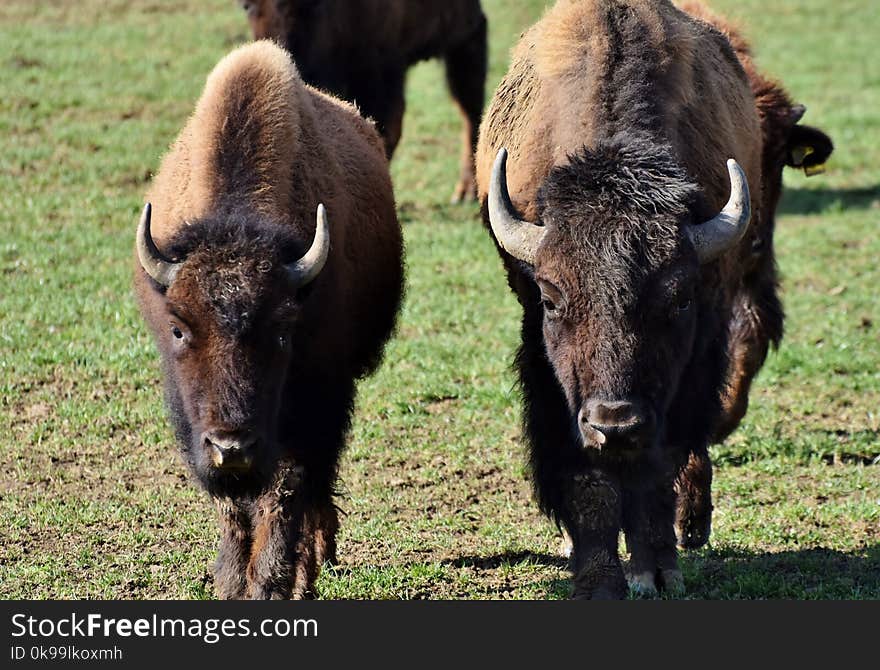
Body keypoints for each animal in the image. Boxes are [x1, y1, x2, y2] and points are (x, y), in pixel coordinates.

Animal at [135, 39, 406, 600]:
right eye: (178, 329)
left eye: (283, 331)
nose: (232, 447)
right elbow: (231, 503)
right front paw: (231, 580)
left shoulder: (314, 395)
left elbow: (287, 490)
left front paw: (272, 584)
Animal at [239, 1, 488, 203]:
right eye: (247, 5)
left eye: (306, 7)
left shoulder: (383, 75)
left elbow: (384, 133)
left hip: (465, 39)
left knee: (470, 110)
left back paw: (466, 192)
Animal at [474, 0, 832, 600]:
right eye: (551, 298)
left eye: (679, 299)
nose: (615, 423)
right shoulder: (549, 371)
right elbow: (584, 471)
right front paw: (598, 579)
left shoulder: (698, 350)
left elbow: (664, 460)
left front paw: (657, 570)